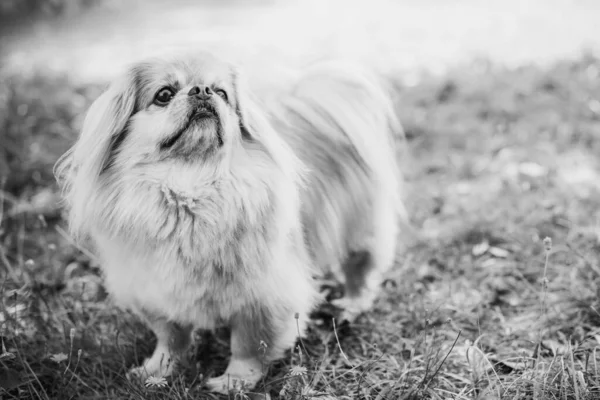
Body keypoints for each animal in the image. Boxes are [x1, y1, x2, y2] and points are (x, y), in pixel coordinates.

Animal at [55, 50, 408, 394]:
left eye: (222, 92)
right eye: (164, 94)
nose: (202, 90)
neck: (191, 193)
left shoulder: (264, 297)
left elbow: (248, 346)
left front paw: (233, 381)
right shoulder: (157, 291)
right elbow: (170, 338)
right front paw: (157, 371)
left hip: (360, 233)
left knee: (360, 270)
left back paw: (350, 304)